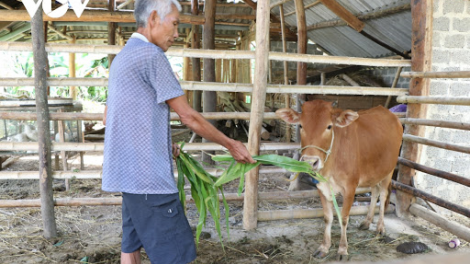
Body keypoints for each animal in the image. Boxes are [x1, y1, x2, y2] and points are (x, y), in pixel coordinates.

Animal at [276, 100, 404, 260]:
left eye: (329, 126)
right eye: (300, 125)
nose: (310, 162)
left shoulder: (350, 188)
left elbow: (343, 218)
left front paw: (342, 249)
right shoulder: (322, 187)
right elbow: (328, 217)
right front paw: (324, 247)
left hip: (389, 171)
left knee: (383, 195)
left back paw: (380, 227)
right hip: (374, 173)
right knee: (374, 193)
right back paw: (367, 222)